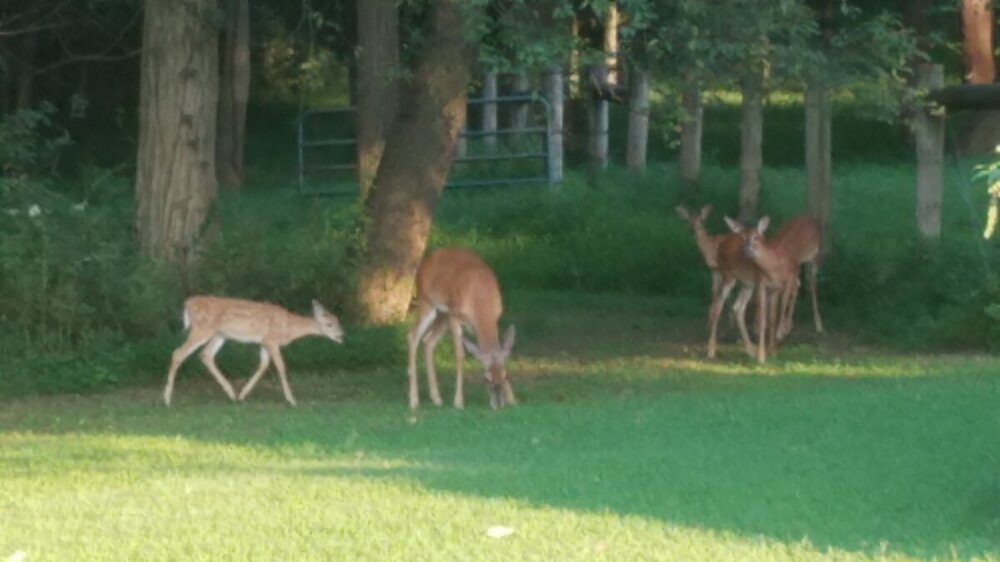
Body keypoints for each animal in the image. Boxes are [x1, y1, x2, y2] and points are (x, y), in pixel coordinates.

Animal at [163, 296, 344, 407]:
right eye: (329, 324)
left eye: (338, 322)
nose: (341, 335)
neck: (289, 327)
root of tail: (188, 303)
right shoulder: (271, 340)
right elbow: (280, 366)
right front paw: (292, 400)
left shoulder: (263, 342)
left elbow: (263, 365)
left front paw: (243, 394)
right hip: (202, 329)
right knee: (178, 353)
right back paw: (167, 399)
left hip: (219, 334)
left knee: (206, 355)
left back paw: (231, 394)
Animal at [408, 247, 516, 411]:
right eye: (486, 378)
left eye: (505, 375)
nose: (498, 404)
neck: (481, 300)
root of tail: (423, 263)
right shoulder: (455, 316)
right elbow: (460, 356)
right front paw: (458, 401)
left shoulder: (494, 318)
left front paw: (513, 399)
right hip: (427, 303)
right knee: (412, 336)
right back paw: (414, 400)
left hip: (443, 315)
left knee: (428, 341)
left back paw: (436, 398)